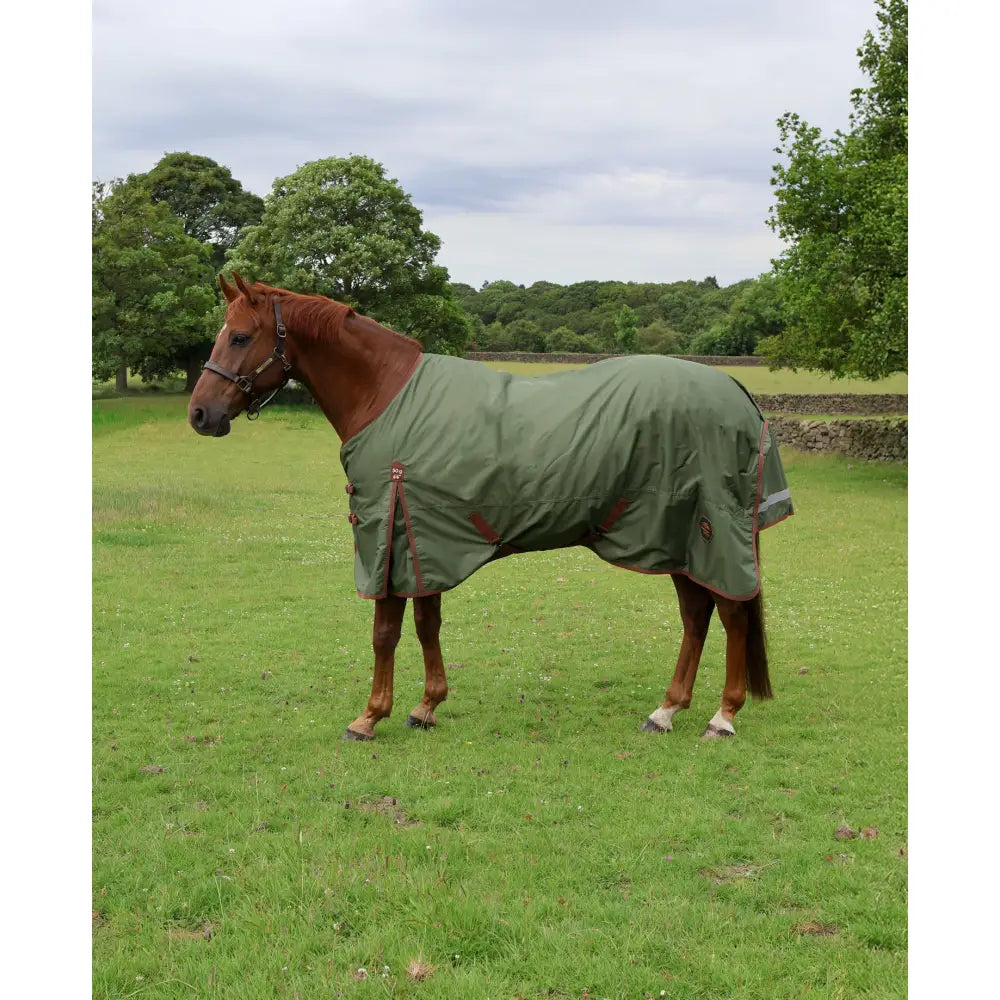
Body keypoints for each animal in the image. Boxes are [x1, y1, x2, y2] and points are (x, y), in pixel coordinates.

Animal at [188, 273, 794, 742]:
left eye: (239, 336)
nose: (199, 414)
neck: (384, 394)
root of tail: (737, 391)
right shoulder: (424, 540)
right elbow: (427, 624)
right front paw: (426, 706)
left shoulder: (391, 537)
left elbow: (386, 632)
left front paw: (369, 717)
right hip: (678, 541)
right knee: (697, 616)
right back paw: (666, 711)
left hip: (710, 533)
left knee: (732, 614)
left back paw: (722, 717)